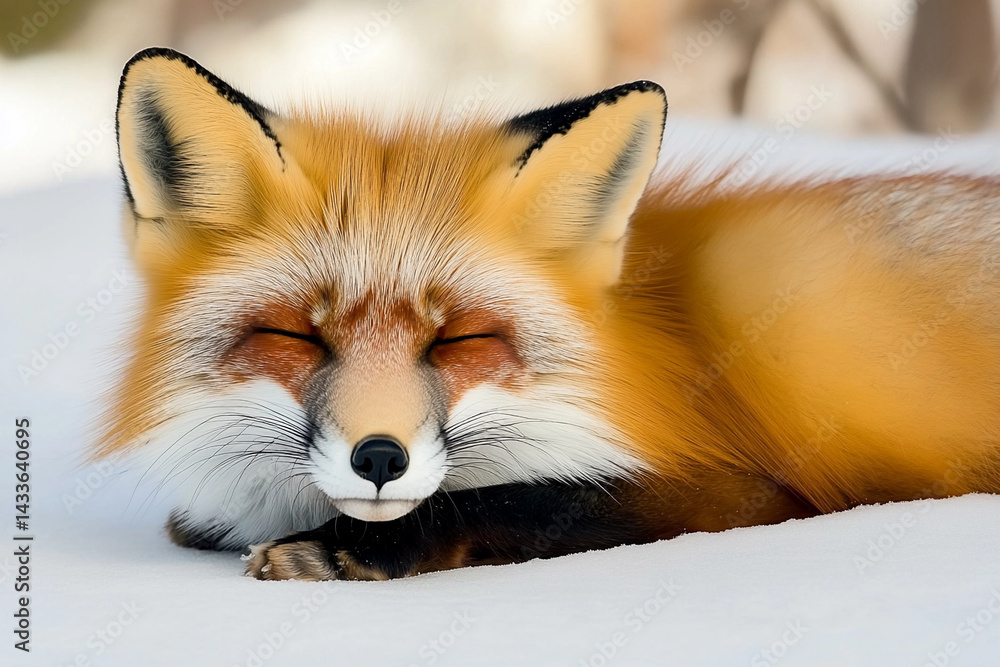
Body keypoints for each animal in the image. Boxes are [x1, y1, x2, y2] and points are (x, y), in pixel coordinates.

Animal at [102, 46, 1000, 581]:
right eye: (294, 334)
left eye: (460, 338)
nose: (380, 457)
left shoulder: (748, 488)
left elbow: (522, 499)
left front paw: (356, 547)